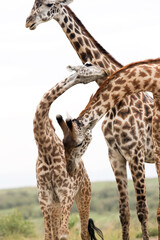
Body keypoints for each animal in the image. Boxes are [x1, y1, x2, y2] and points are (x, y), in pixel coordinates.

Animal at [33, 64, 106, 240]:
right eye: (87, 65)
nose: (103, 71)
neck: (45, 148)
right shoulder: (44, 196)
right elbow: (49, 235)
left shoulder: (67, 193)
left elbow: (64, 234)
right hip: (56, 203)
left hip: (84, 195)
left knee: (84, 232)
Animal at [57, 58, 160, 240]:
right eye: (63, 143)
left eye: (78, 143)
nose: (69, 169)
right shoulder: (115, 156)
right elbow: (124, 212)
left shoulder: (136, 154)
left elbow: (142, 209)